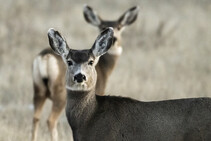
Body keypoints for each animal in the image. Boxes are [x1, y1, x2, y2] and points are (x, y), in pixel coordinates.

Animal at [31, 5, 139, 141]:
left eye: (119, 27)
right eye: (102, 26)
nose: (114, 39)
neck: (104, 68)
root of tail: (45, 57)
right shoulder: (99, 89)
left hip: (38, 88)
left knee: (35, 117)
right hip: (59, 93)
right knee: (50, 120)